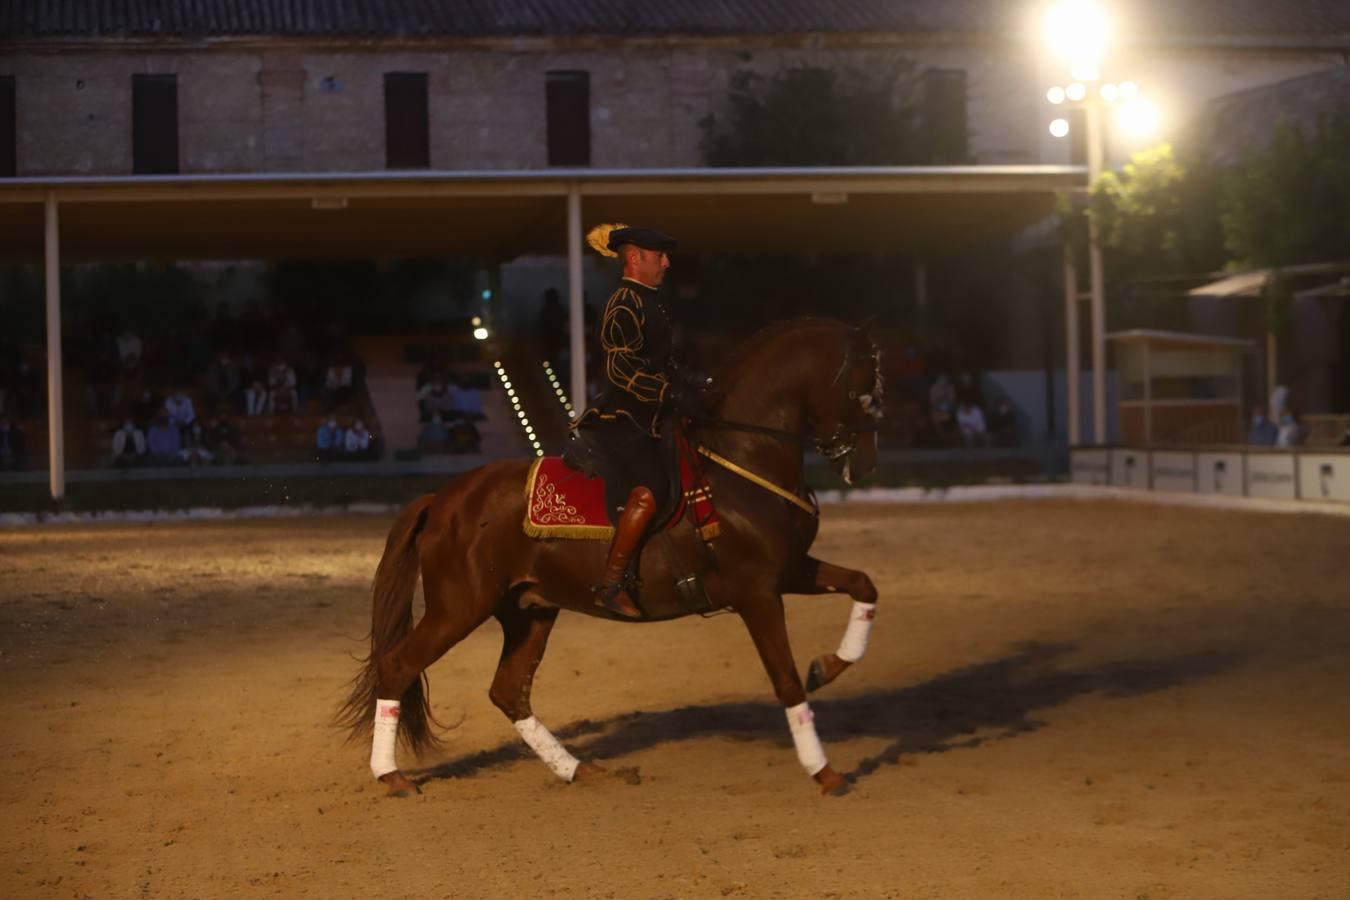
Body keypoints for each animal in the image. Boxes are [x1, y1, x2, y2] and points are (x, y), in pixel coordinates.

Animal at [337, 319, 885, 798]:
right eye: (863, 390)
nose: (862, 465)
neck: (739, 462)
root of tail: (444, 498)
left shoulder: (788, 571)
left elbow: (863, 584)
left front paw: (829, 665)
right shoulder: (757, 593)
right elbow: (786, 680)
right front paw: (825, 773)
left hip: (529, 610)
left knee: (508, 691)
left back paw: (577, 769)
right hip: (459, 608)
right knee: (399, 665)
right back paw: (392, 777)